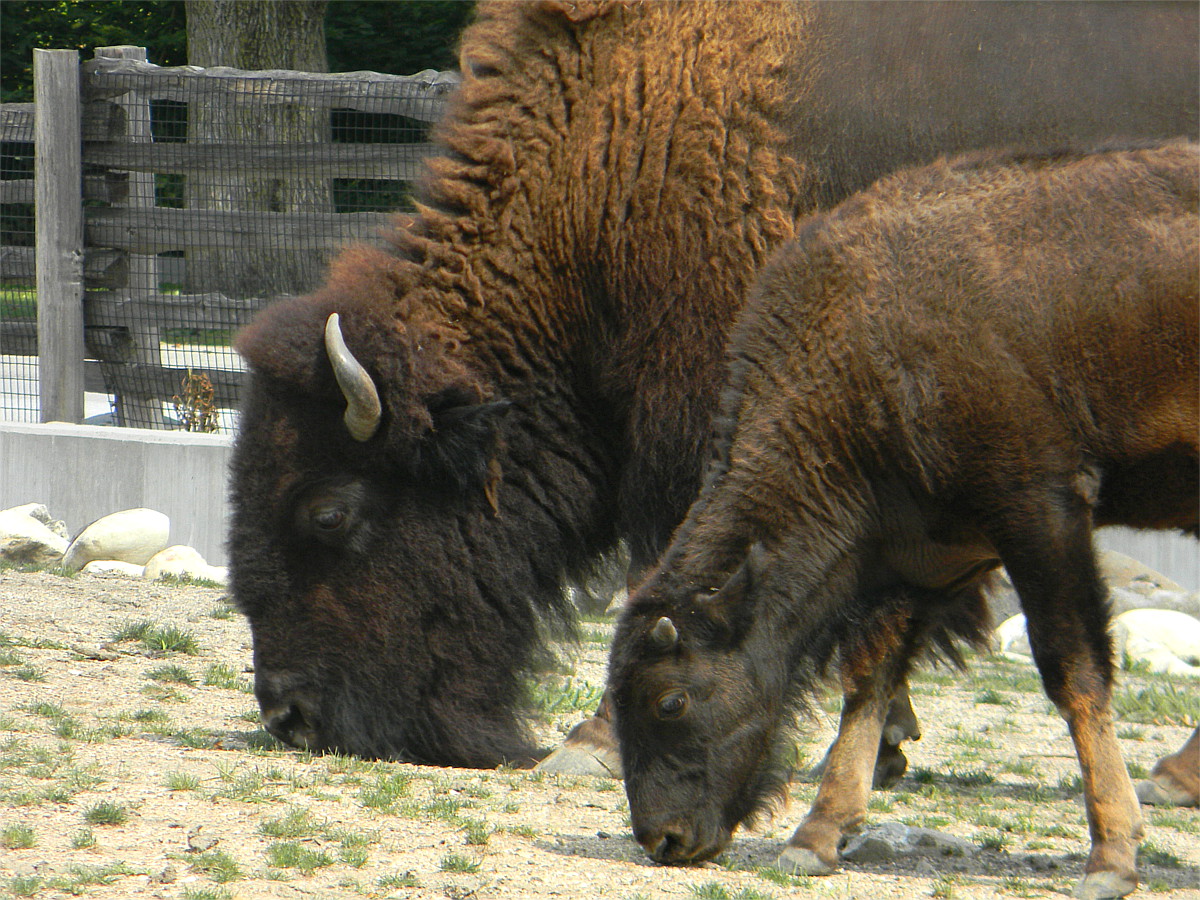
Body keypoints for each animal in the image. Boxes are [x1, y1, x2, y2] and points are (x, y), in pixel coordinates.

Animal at [229, 0, 1199, 770]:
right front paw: (886, 742)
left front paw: (594, 743)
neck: (613, 154)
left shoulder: (705, 410)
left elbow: (669, 563)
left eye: (329, 512)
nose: (290, 714)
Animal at [608, 141, 1199, 900]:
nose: (665, 839)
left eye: (670, 702)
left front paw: (1111, 858)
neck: (861, 349)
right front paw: (815, 838)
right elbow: (869, 681)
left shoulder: (1042, 513)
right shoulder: (918, 558)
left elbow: (1073, 671)